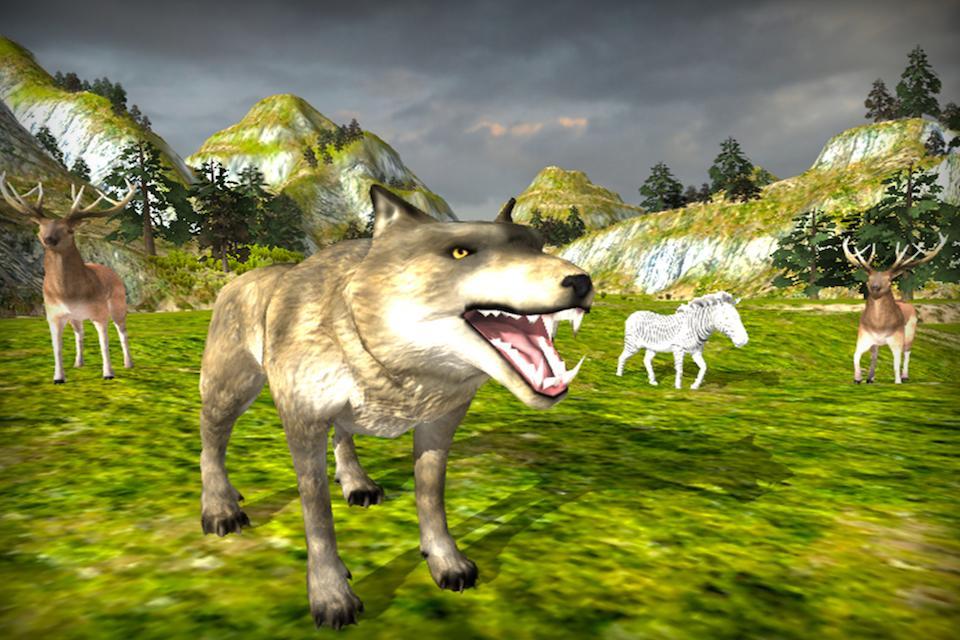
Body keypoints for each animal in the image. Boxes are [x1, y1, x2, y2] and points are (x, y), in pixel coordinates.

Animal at [199, 186, 593, 628]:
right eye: (461, 252)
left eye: (537, 245)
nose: (582, 281)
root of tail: (237, 281)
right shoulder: (304, 422)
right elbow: (318, 516)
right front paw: (331, 596)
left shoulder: (440, 423)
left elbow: (430, 497)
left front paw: (446, 562)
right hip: (229, 391)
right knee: (210, 440)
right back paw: (219, 507)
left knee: (343, 434)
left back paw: (357, 483)